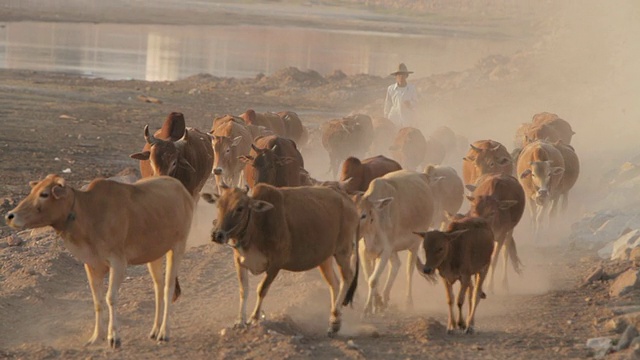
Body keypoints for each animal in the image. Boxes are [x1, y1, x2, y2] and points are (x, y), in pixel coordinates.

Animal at [3, 176, 194, 348]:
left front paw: (114, 337)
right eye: (32, 191)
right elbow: (97, 301)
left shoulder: (118, 263)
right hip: (154, 254)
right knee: (158, 287)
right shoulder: (92, 265)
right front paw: (96, 336)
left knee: (168, 288)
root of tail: (181, 188)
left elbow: (111, 298)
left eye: (44, 194)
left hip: (177, 247)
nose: (10, 216)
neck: (88, 213)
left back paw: (164, 333)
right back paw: (154, 330)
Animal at [201, 184, 360, 336]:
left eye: (240, 208)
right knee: (334, 284)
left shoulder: (275, 265)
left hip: (343, 252)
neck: (257, 224)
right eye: (218, 205)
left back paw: (335, 321)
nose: (217, 235)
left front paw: (254, 318)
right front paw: (239, 320)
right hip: (324, 259)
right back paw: (334, 321)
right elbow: (243, 290)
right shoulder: (239, 262)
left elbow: (261, 289)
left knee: (347, 278)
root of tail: (346, 198)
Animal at [352, 170, 438, 314]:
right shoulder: (364, 252)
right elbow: (370, 278)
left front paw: (368, 309)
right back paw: (384, 300)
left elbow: (373, 280)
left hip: (414, 245)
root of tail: (423, 176)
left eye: (364, 215)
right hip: (393, 250)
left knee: (409, 270)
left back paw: (408, 303)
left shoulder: (385, 251)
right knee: (396, 264)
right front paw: (376, 304)